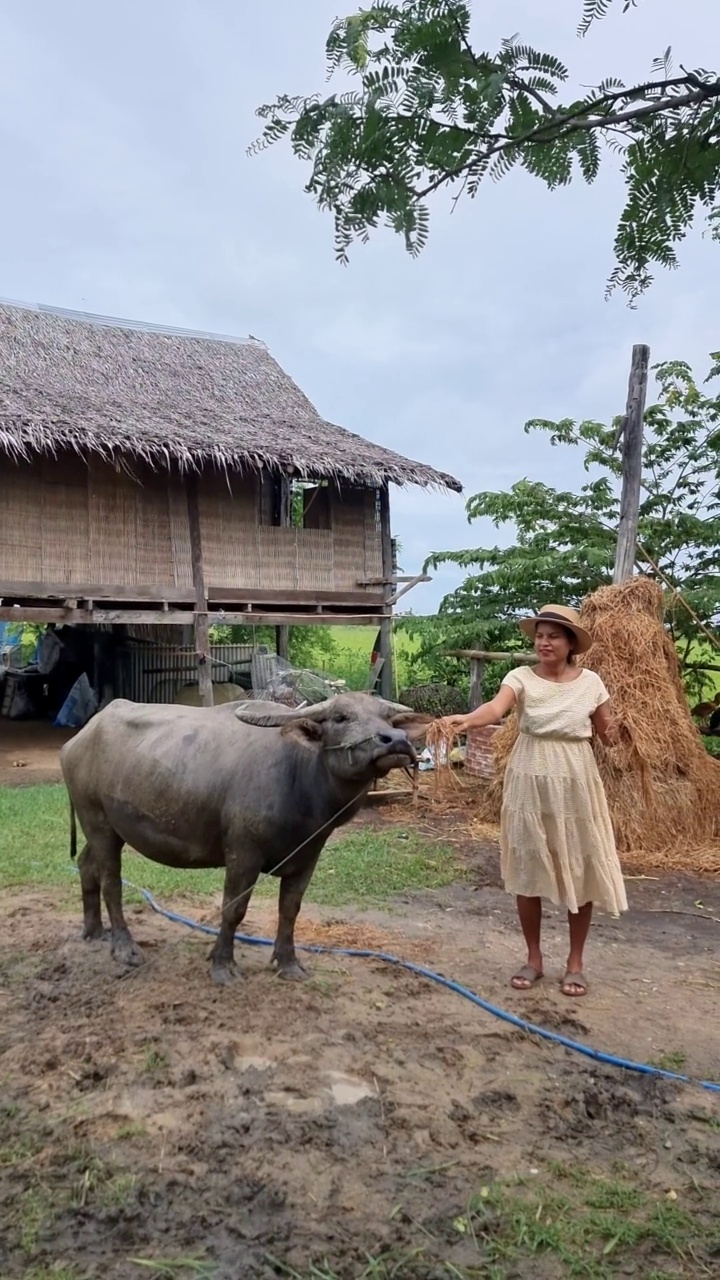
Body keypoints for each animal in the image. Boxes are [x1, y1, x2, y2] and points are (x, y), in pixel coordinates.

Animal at [61, 696, 425, 983]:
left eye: (388, 718)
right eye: (340, 717)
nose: (395, 740)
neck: (299, 777)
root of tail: (76, 741)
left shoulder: (308, 855)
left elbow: (290, 909)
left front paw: (289, 964)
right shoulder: (243, 853)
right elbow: (234, 909)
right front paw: (223, 965)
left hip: (108, 828)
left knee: (86, 866)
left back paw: (94, 931)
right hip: (97, 821)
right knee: (112, 883)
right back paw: (125, 949)